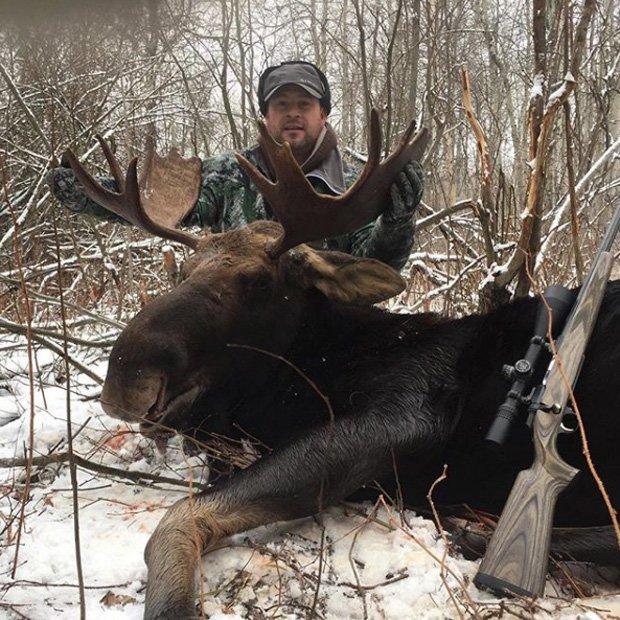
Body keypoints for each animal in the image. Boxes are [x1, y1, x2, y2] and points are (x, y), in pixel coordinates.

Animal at [64, 114, 620, 616]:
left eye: (259, 281)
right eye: (184, 269)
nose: (127, 375)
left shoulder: (406, 415)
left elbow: (177, 517)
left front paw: (171, 605)